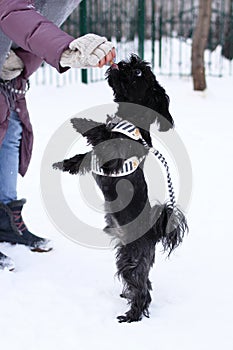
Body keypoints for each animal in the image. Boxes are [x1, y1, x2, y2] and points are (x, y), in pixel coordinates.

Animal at [54, 54, 187, 322]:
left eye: (138, 73)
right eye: (136, 65)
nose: (125, 61)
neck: (130, 121)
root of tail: (153, 233)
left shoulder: (111, 157)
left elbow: (99, 130)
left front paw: (81, 122)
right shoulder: (96, 157)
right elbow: (82, 157)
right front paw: (64, 163)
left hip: (131, 260)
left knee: (143, 290)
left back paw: (131, 315)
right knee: (145, 284)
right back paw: (127, 298)